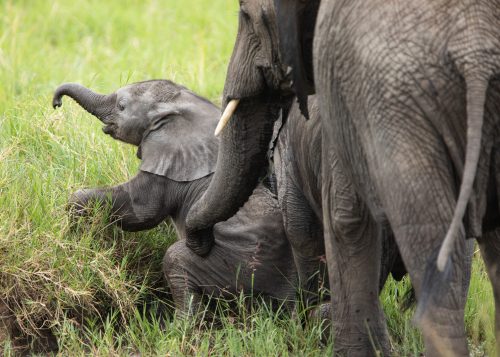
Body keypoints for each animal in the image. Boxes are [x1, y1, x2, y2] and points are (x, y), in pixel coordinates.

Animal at [51, 80, 296, 312]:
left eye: (121, 106)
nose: (56, 103)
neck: (178, 108)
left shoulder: (167, 172)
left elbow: (141, 212)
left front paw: (72, 227)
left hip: (242, 263)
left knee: (175, 260)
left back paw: (181, 326)